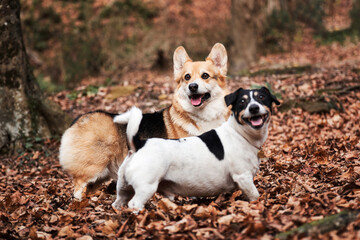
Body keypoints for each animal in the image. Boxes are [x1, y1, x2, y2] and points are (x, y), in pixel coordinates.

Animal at [58, 43, 229, 201]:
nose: (193, 86)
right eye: (187, 77)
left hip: (102, 175)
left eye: (205, 75)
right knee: (78, 187)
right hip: (93, 168)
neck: (203, 116)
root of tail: (78, 119)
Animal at [112, 86, 282, 210]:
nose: (253, 108)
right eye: (242, 102)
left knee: (118, 203)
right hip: (146, 187)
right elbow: (255, 196)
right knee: (134, 204)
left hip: (123, 189)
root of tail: (138, 145)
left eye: (261, 98)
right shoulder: (243, 177)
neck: (240, 133)